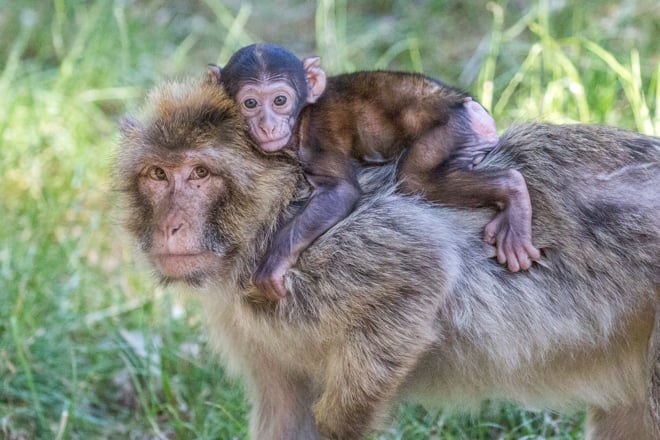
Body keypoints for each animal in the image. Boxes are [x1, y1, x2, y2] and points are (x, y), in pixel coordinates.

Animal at [118, 77, 660, 438]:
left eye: (200, 173)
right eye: (158, 174)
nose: (170, 226)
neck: (265, 218)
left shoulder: (325, 255)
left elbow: (424, 261)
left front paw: (339, 425)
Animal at [208, 43, 540, 300]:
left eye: (279, 100)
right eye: (250, 103)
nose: (267, 125)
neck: (303, 114)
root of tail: (473, 108)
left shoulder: (317, 137)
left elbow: (341, 191)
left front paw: (274, 262)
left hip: (452, 129)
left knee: (416, 178)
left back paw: (512, 192)